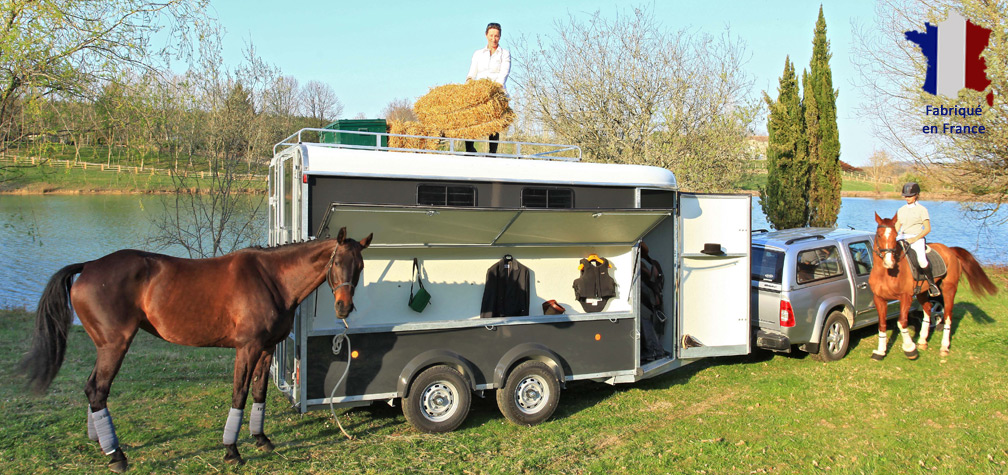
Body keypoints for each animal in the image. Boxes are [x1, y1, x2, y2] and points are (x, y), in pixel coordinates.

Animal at [20, 227, 374, 471]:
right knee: (97, 389)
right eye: (336, 262)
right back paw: (116, 455)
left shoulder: (266, 348)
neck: (271, 278)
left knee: (93, 389)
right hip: (114, 345)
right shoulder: (247, 348)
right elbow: (239, 394)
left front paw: (261, 439)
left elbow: (259, 392)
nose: (344, 308)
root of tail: (90, 265)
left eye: (360, 266)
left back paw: (101, 443)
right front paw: (231, 450)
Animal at [870, 212, 995, 361]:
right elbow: (882, 324)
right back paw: (923, 341)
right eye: (879, 235)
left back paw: (944, 347)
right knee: (928, 309)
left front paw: (910, 349)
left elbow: (902, 322)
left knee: (947, 315)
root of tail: (950, 250)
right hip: (922, 292)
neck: (886, 273)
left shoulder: (905, 297)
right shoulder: (879, 298)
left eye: (895, 236)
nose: (889, 262)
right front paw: (880, 352)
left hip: (949, 289)